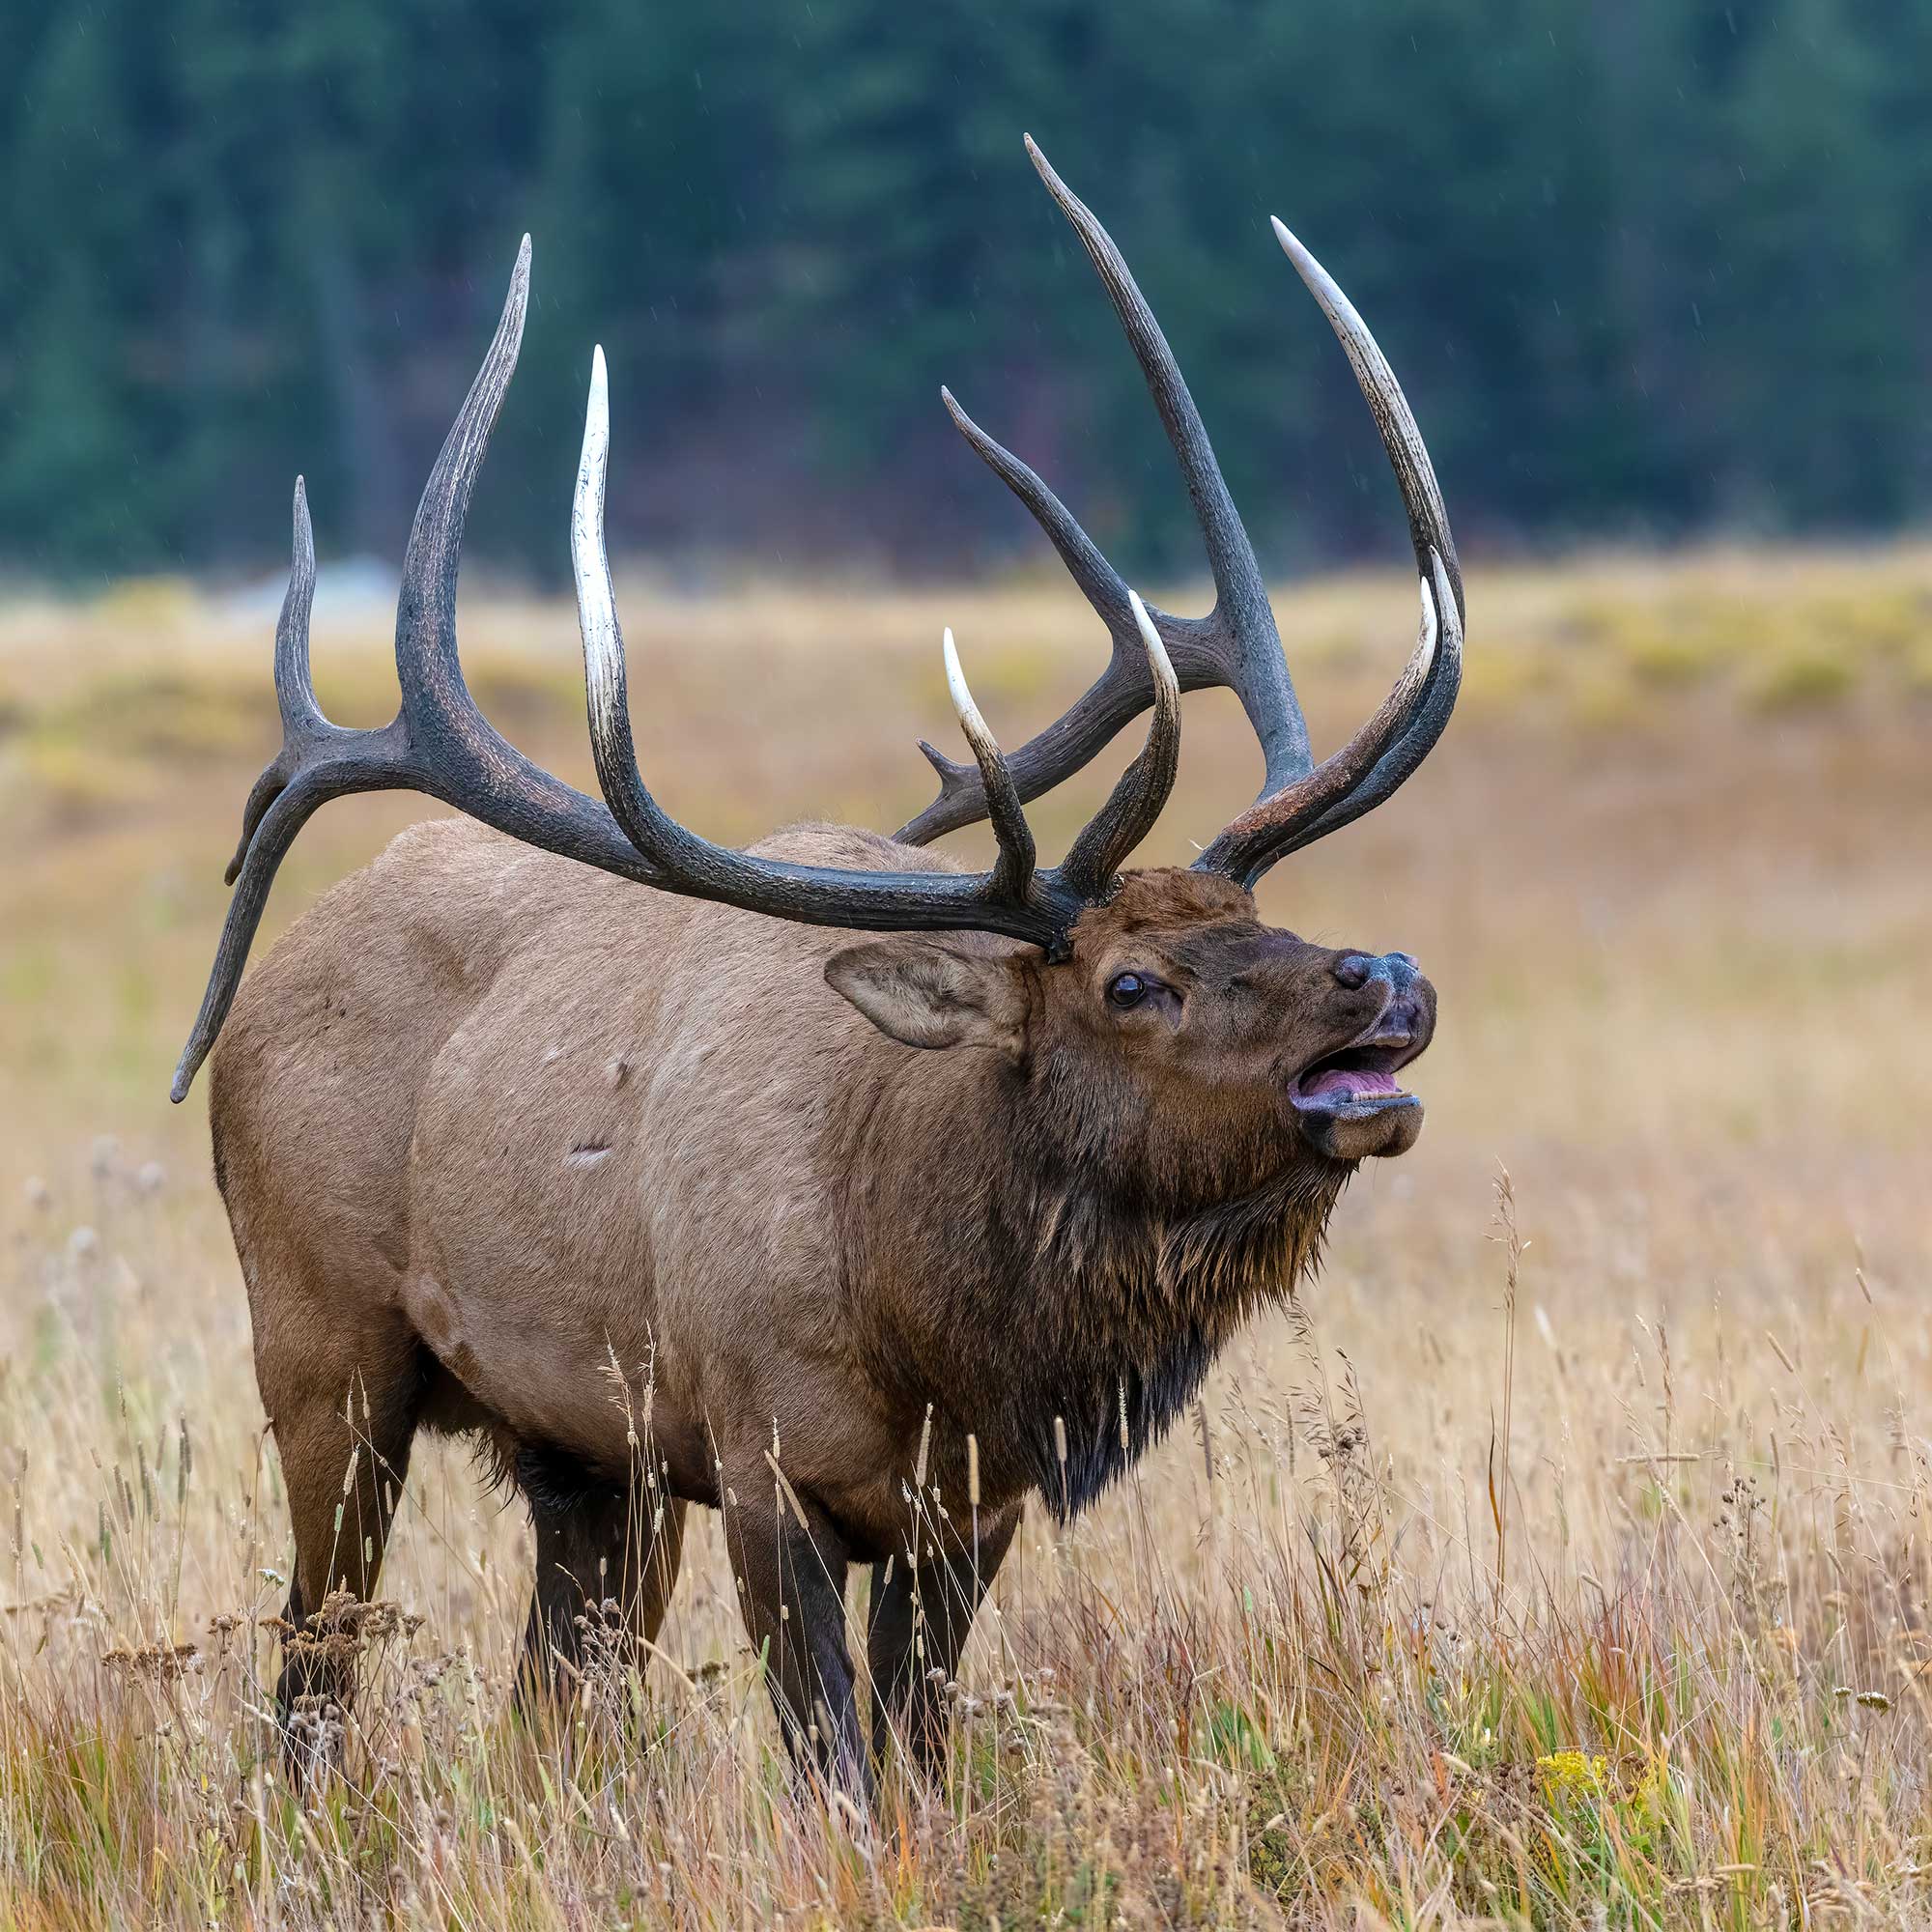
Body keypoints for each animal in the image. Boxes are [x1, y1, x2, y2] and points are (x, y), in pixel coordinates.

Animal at [178, 140, 1461, 1793]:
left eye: (1271, 925)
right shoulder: (761, 1459)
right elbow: (834, 1767)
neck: (936, 1326)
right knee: (309, 1666)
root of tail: (269, 983)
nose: (1387, 979)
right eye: (1131, 986)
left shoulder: (965, 1509)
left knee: (552, 1700)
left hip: (586, 1453)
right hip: (323, 1346)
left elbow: (917, 1756)